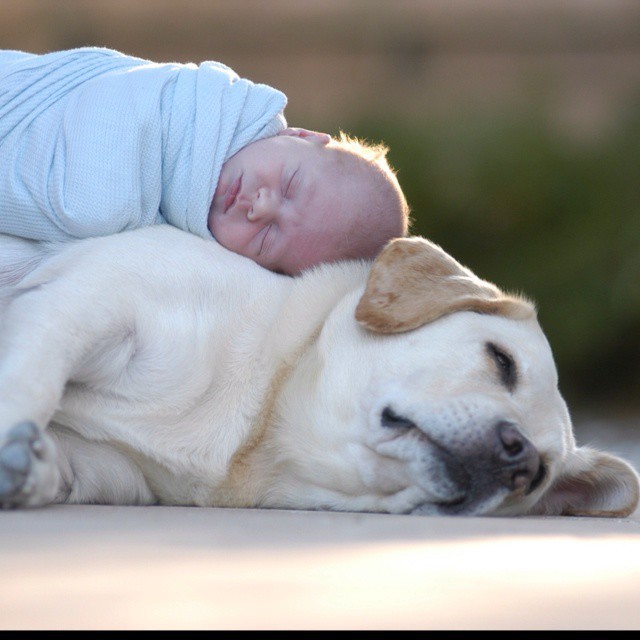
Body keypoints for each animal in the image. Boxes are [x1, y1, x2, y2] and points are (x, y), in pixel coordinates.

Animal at [0, 228, 636, 516]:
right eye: (501, 361)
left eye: (538, 477)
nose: (518, 456)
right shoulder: (87, 301)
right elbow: (32, 380)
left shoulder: (111, 470)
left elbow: (62, 459)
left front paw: (28, 468)